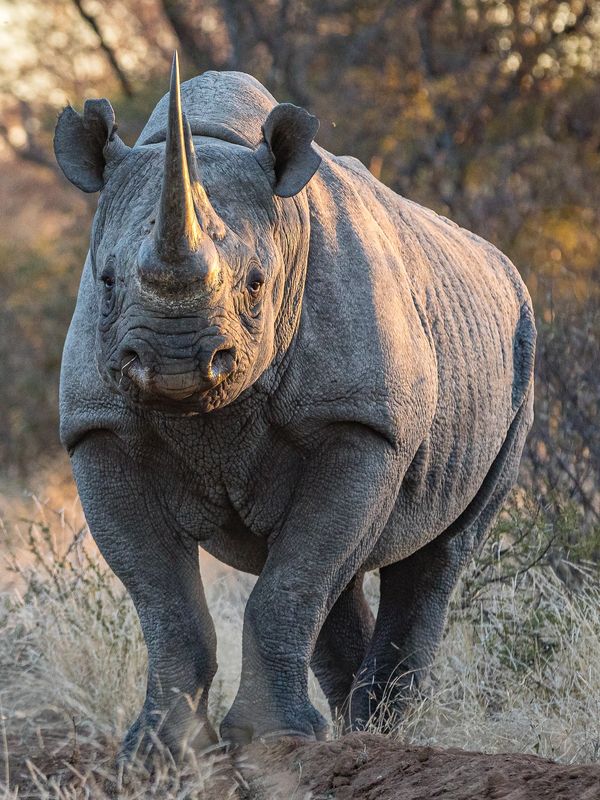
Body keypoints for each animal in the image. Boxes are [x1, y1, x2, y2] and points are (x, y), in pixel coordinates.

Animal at [54, 54, 535, 760]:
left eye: (258, 284)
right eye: (107, 282)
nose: (176, 363)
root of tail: (501, 261)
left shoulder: (360, 419)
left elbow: (290, 583)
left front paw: (271, 739)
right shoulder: (100, 429)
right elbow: (167, 601)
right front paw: (159, 751)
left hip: (521, 344)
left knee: (435, 556)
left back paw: (383, 737)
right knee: (336, 562)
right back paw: (362, 730)